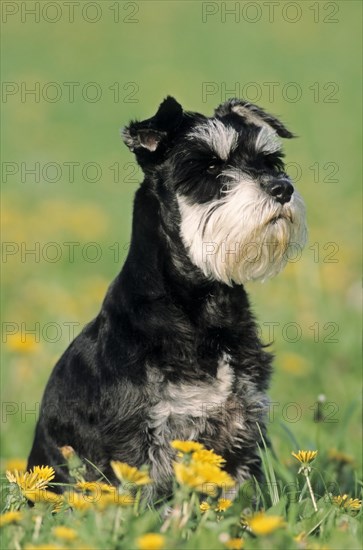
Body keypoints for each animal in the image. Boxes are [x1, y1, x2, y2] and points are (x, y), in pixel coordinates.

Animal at [27, 97, 308, 498]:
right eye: (210, 166)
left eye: (270, 162)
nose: (282, 188)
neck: (204, 306)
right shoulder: (138, 438)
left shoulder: (241, 426)